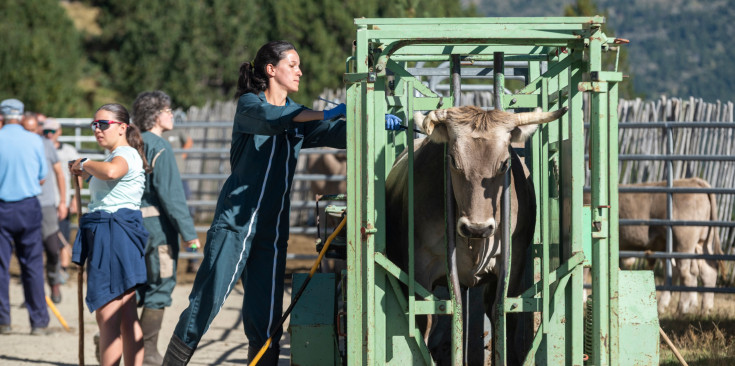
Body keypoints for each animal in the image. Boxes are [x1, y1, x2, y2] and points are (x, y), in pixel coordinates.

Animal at [386, 104, 568, 364]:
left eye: (504, 163)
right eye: (453, 160)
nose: (477, 228)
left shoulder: (512, 265)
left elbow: (503, 312)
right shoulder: (419, 269)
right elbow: (427, 320)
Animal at [616, 178, 724, 314]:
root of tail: (695, 181)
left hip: (684, 243)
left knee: (687, 274)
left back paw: (683, 308)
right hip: (701, 242)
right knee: (707, 270)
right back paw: (705, 309)